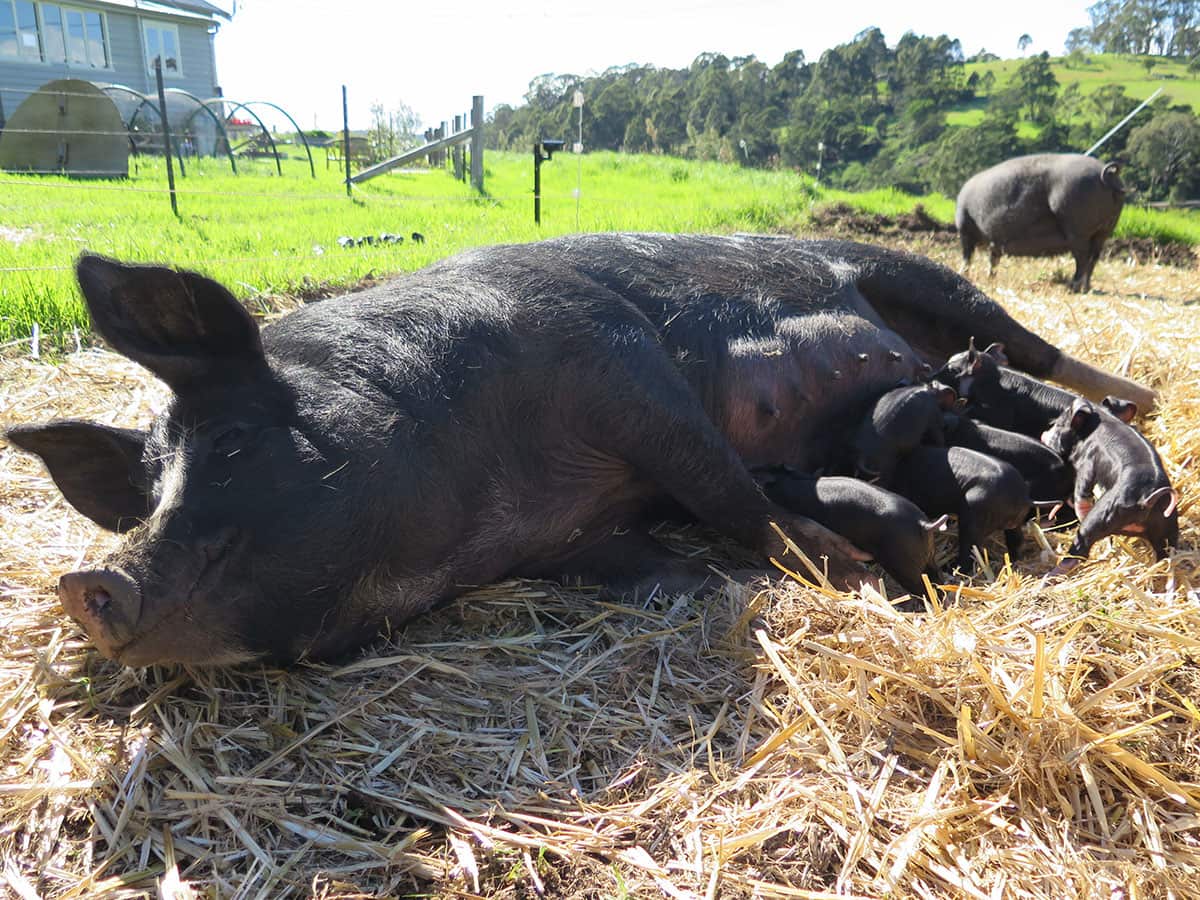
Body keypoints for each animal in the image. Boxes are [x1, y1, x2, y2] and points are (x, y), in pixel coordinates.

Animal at [893, 447, 1032, 574]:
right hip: (1014, 523)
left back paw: (951, 569)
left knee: (969, 548)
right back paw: (1014, 559)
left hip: (972, 513)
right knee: (1016, 539)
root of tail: (1021, 497)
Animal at [956, 153, 1125, 293]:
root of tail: (1107, 174)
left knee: (1082, 258)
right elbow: (992, 259)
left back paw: (1072, 288)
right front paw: (989, 278)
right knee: (1093, 258)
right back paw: (1086, 288)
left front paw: (964, 274)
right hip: (1105, 231)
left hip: (1078, 229)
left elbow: (967, 256)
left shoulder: (965, 228)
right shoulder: (994, 243)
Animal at [1039, 397, 1179, 574]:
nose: (1043, 434)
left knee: (1080, 550)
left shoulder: (1087, 464)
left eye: (1059, 424)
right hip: (1168, 526)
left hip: (1100, 516)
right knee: (1166, 553)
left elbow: (1081, 493)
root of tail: (1146, 500)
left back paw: (1049, 576)